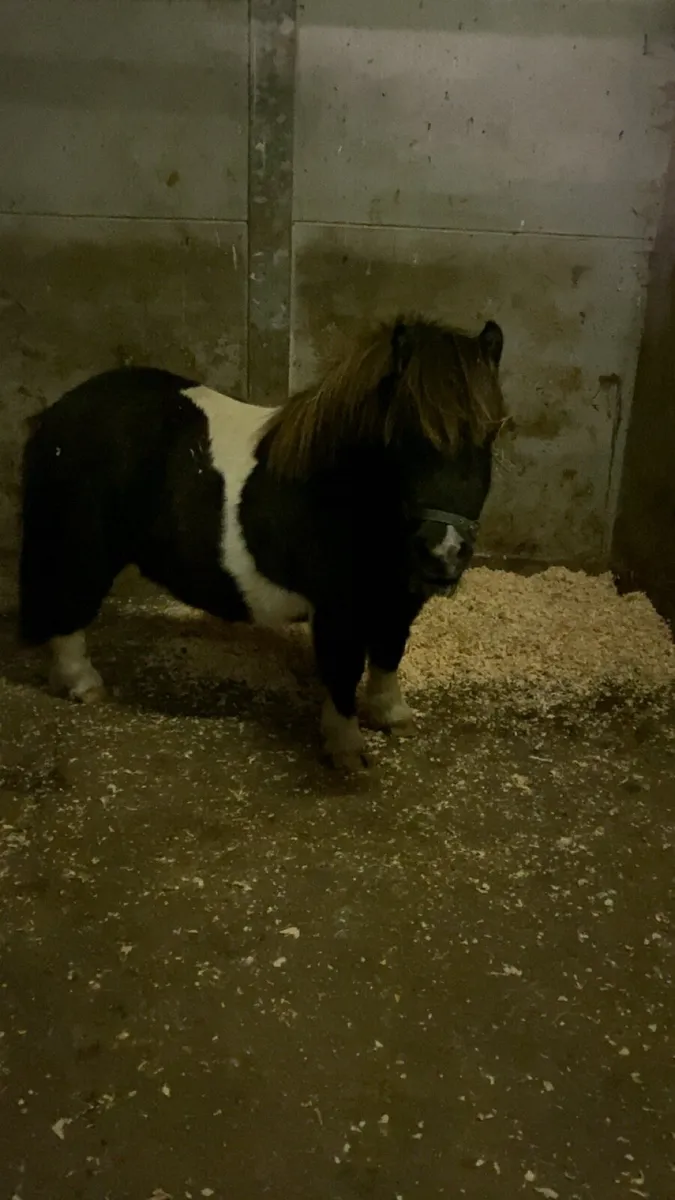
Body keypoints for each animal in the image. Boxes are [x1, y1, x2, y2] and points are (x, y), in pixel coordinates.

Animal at [19, 315, 507, 771]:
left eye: (490, 434)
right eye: (403, 436)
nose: (443, 552)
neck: (340, 493)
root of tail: (59, 413)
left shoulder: (397, 601)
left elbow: (388, 653)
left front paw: (391, 716)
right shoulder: (337, 611)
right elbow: (343, 670)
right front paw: (346, 748)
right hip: (80, 550)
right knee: (67, 614)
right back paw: (83, 685)